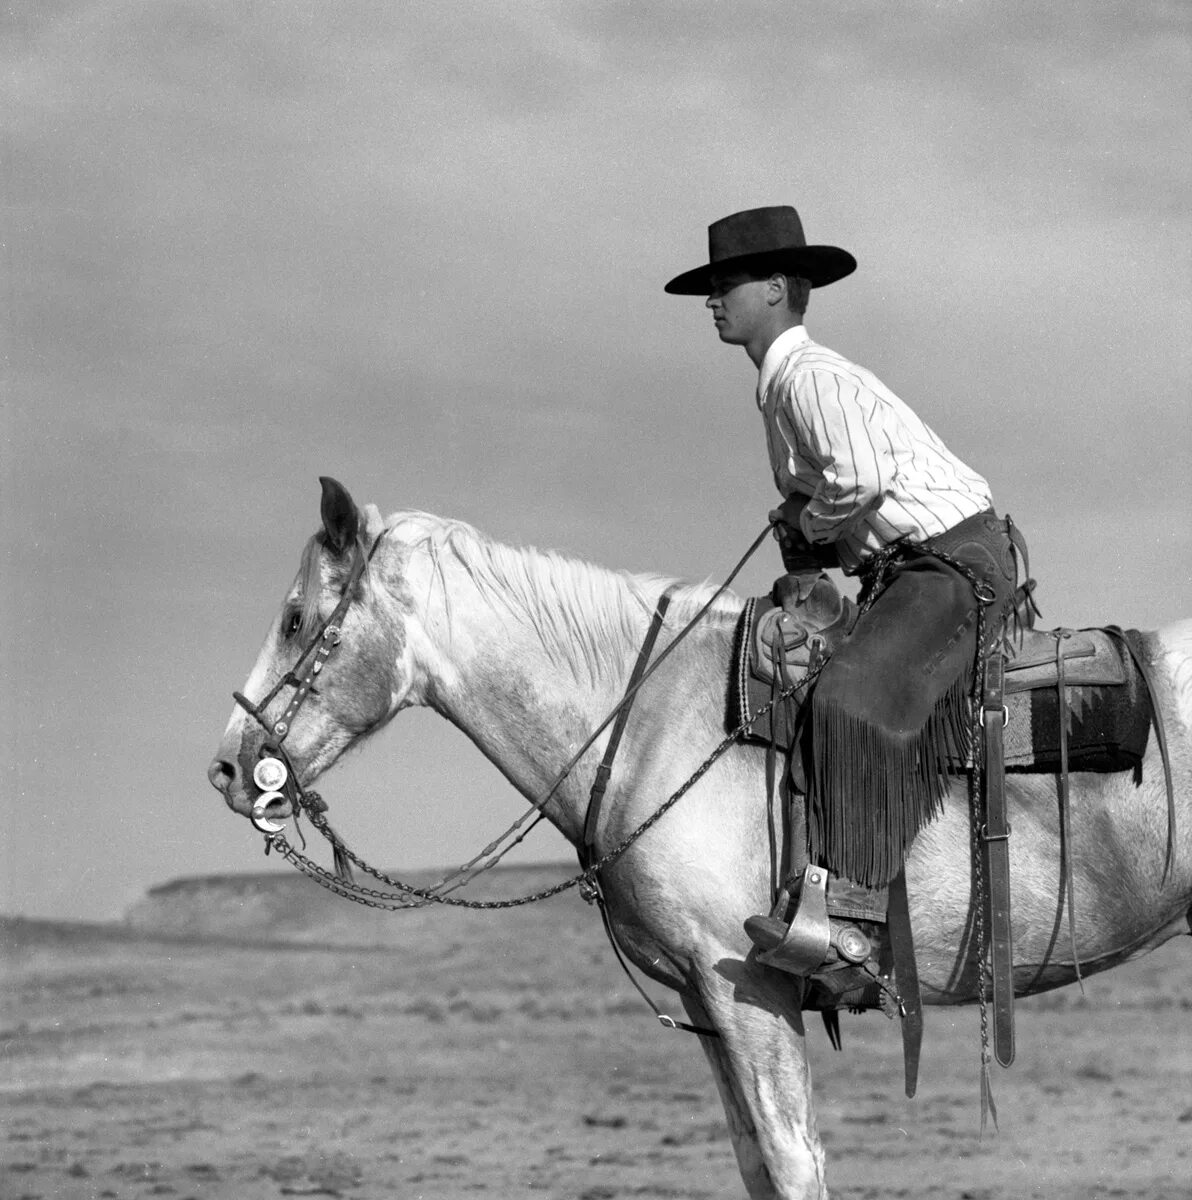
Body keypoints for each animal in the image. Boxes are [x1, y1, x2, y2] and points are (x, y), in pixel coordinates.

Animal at [206, 480, 1190, 1200]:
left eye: (295, 618)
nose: (230, 766)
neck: (645, 719)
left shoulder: (749, 986)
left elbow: (794, 1164)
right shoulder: (706, 1002)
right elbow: (757, 1165)